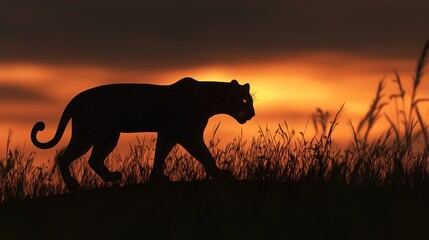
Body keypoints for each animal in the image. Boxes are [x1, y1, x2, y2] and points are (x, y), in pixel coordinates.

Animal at [31, 78, 256, 192]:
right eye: (245, 100)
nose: (253, 114)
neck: (210, 100)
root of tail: (75, 98)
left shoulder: (180, 135)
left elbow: (179, 155)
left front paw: (158, 179)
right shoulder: (179, 134)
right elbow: (201, 154)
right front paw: (220, 174)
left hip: (96, 135)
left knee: (87, 159)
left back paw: (101, 179)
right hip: (99, 135)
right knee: (73, 158)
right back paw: (80, 184)